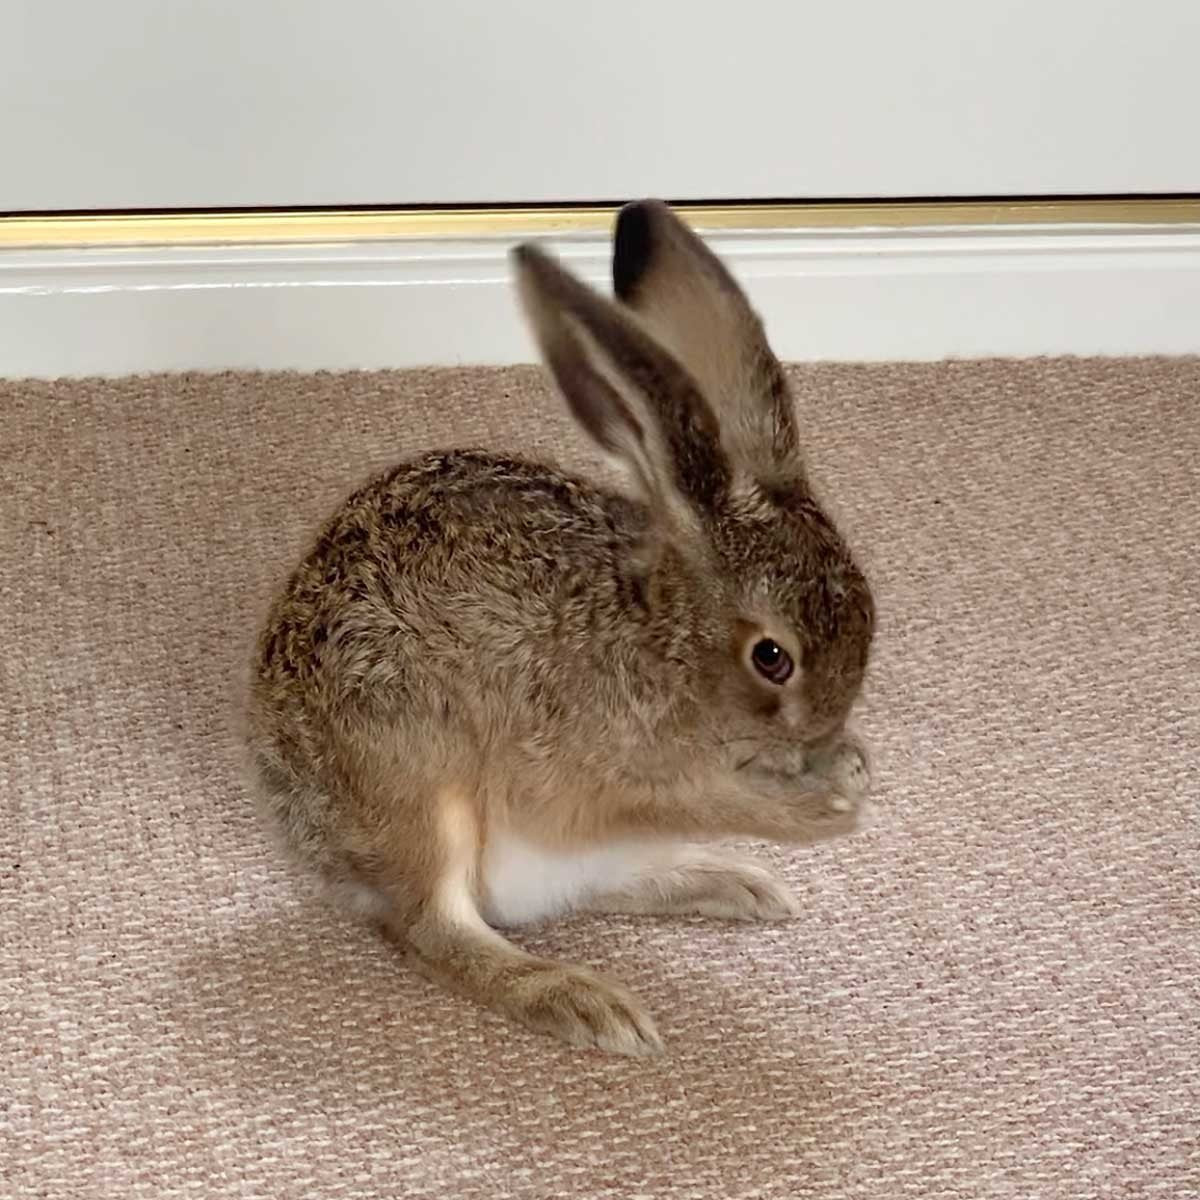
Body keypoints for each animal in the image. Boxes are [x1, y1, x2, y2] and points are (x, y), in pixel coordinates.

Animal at [244, 199, 876, 1056]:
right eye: (772, 657)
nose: (821, 740)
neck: (662, 643)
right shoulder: (588, 778)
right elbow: (696, 796)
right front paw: (822, 809)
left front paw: (846, 774)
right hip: (417, 783)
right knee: (436, 928)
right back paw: (584, 1002)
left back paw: (735, 886)